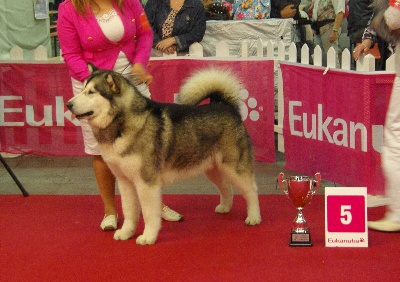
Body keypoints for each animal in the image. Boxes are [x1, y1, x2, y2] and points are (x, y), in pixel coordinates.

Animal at [67, 64, 262, 245]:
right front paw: (127, 232)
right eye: (83, 89)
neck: (121, 125)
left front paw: (148, 237)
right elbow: (129, 211)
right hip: (213, 168)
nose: (68, 104)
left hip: (235, 167)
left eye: (91, 92)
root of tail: (226, 106)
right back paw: (225, 207)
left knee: (251, 190)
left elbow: (148, 213)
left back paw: (254, 217)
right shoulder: (125, 181)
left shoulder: (146, 182)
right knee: (226, 187)